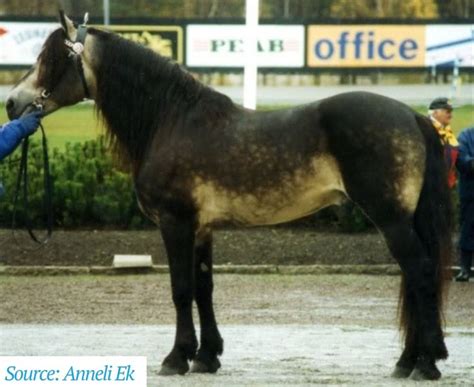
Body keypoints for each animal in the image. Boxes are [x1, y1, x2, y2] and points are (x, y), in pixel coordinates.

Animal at [6, 12, 452, 382]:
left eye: (51, 59)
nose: (12, 103)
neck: (172, 121)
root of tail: (412, 116)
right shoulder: (202, 228)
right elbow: (204, 287)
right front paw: (206, 357)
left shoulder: (176, 223)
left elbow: (181, 288)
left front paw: (176, 358)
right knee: (413, 277)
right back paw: (407, 362)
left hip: (391, 219)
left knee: (420, 272)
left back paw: (427, 363)